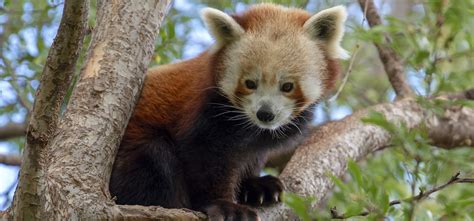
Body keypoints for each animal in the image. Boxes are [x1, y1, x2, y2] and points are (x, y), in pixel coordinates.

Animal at [109, 3, 346, 221]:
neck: (248, 126)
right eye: (250, 83)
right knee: (154, 158)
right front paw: (223, 205)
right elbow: (205, 160)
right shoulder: (206, 113)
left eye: (287, 86)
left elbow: (251, 154)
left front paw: (255, 185)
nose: (265, 114)